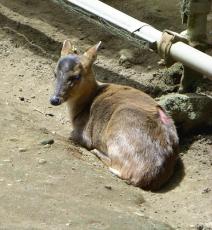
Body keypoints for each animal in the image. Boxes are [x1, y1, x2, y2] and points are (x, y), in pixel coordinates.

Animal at [49, 40, 179, 191]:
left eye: (76, 76)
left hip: (119, 132)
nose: (54, 99)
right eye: (55, 73)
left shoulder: (82, 134)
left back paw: (97, 152)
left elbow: (73, 136)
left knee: (120, 169)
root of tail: (148, 177)